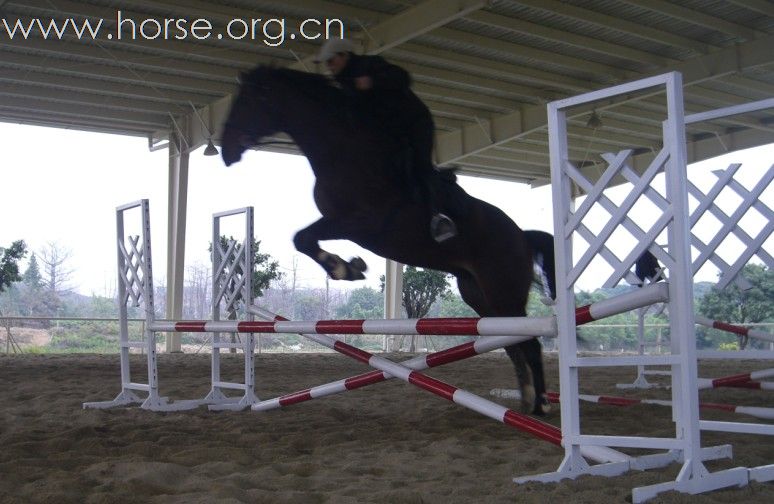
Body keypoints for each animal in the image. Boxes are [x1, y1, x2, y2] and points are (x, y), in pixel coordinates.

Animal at [220, 65, 552, 416]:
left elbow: (304, 237)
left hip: (503, 291)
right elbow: (302, 238)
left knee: (530, 343)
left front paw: (343, 268)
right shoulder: (342, 223)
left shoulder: (360, 223)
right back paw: (524, 402)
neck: (341, 151)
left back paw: (541, 405)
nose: (226, 151)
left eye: (249, 101)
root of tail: (522, 236)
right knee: (514, 343)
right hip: (478, 293)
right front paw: (348, 266)